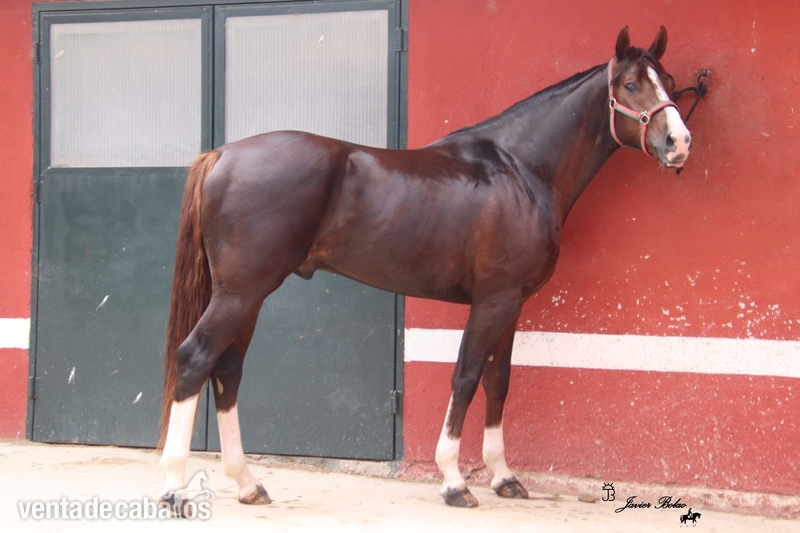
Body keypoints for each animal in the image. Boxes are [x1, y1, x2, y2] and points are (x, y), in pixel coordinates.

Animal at [157, 25, 691, 508]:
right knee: (195, 358)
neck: (518, 169)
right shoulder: (493, 300)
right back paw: (173, 488)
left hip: (245, 296)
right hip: (241, 293)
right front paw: (454, 481)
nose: (679, 142)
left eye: (668, 79)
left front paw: (504, 478)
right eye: (631, 85)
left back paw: (248, 485)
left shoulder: (512, 303)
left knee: (227, 369)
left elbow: (499, 380)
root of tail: (222, 154)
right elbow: (466, 376)